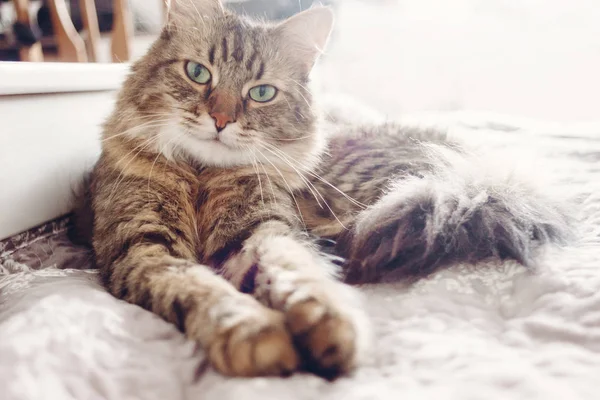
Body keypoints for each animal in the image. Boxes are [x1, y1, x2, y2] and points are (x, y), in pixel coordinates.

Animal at [72, 0, 576, 378]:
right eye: (198, 73)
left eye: (261, 93)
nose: (220, 120)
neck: (202, 176)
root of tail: (480, 167)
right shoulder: (143, 246)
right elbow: (201, 288)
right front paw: (252, 332)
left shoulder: (265, 228)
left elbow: (297, 269)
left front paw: (326, 321)